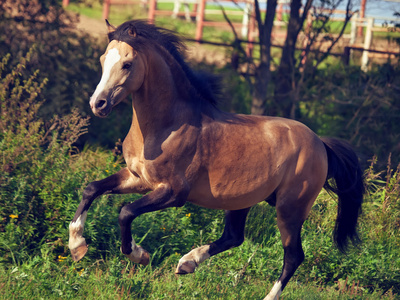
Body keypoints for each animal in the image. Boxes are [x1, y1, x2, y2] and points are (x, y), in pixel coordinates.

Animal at [69, 19, 366, 298]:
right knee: (234, 237)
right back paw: (187, 263)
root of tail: (320, 144)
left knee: (293, 255)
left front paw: (138, 255)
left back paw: (264, 295)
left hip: (290, 209)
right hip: (241, 201)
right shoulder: (137, 178)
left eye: (127, 64)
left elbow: (126, 212)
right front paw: (76, 245)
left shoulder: (174, 192)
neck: (166, 127)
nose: (98, 104)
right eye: (103, 59)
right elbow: (92, 189)